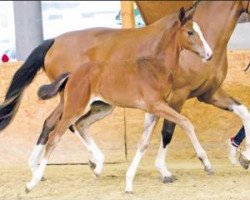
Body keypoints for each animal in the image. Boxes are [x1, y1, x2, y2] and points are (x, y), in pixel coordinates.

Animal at [25, 7, 212, 192]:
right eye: (190, 32)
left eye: (200, 31)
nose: (209, 54)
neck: (156, 67)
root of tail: (72, 74)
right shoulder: (157, 105)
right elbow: (186, 122)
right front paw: (206, 163)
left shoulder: (154, 111)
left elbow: (143, 143)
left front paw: (129, 183)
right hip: (74, 107)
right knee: (54, 137)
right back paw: (32, 182)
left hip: (103, 107)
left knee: (80, 125)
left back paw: (97, 166)